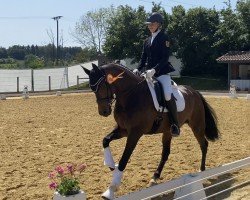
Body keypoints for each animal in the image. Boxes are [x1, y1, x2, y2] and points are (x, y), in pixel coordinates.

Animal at [82, 63, 219, 199]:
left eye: (101, 86)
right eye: (92, 88)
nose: (103, 112)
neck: (130, 95)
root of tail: (194, 92)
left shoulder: (135, 133)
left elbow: (124, 159)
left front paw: (111, 189)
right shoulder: (123, 130)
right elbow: (105, 140)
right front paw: (110, 165)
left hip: (197, 126)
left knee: (204, 145)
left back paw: (202, 171)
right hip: (168, 131)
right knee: (166, 153)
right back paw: (155, 176)